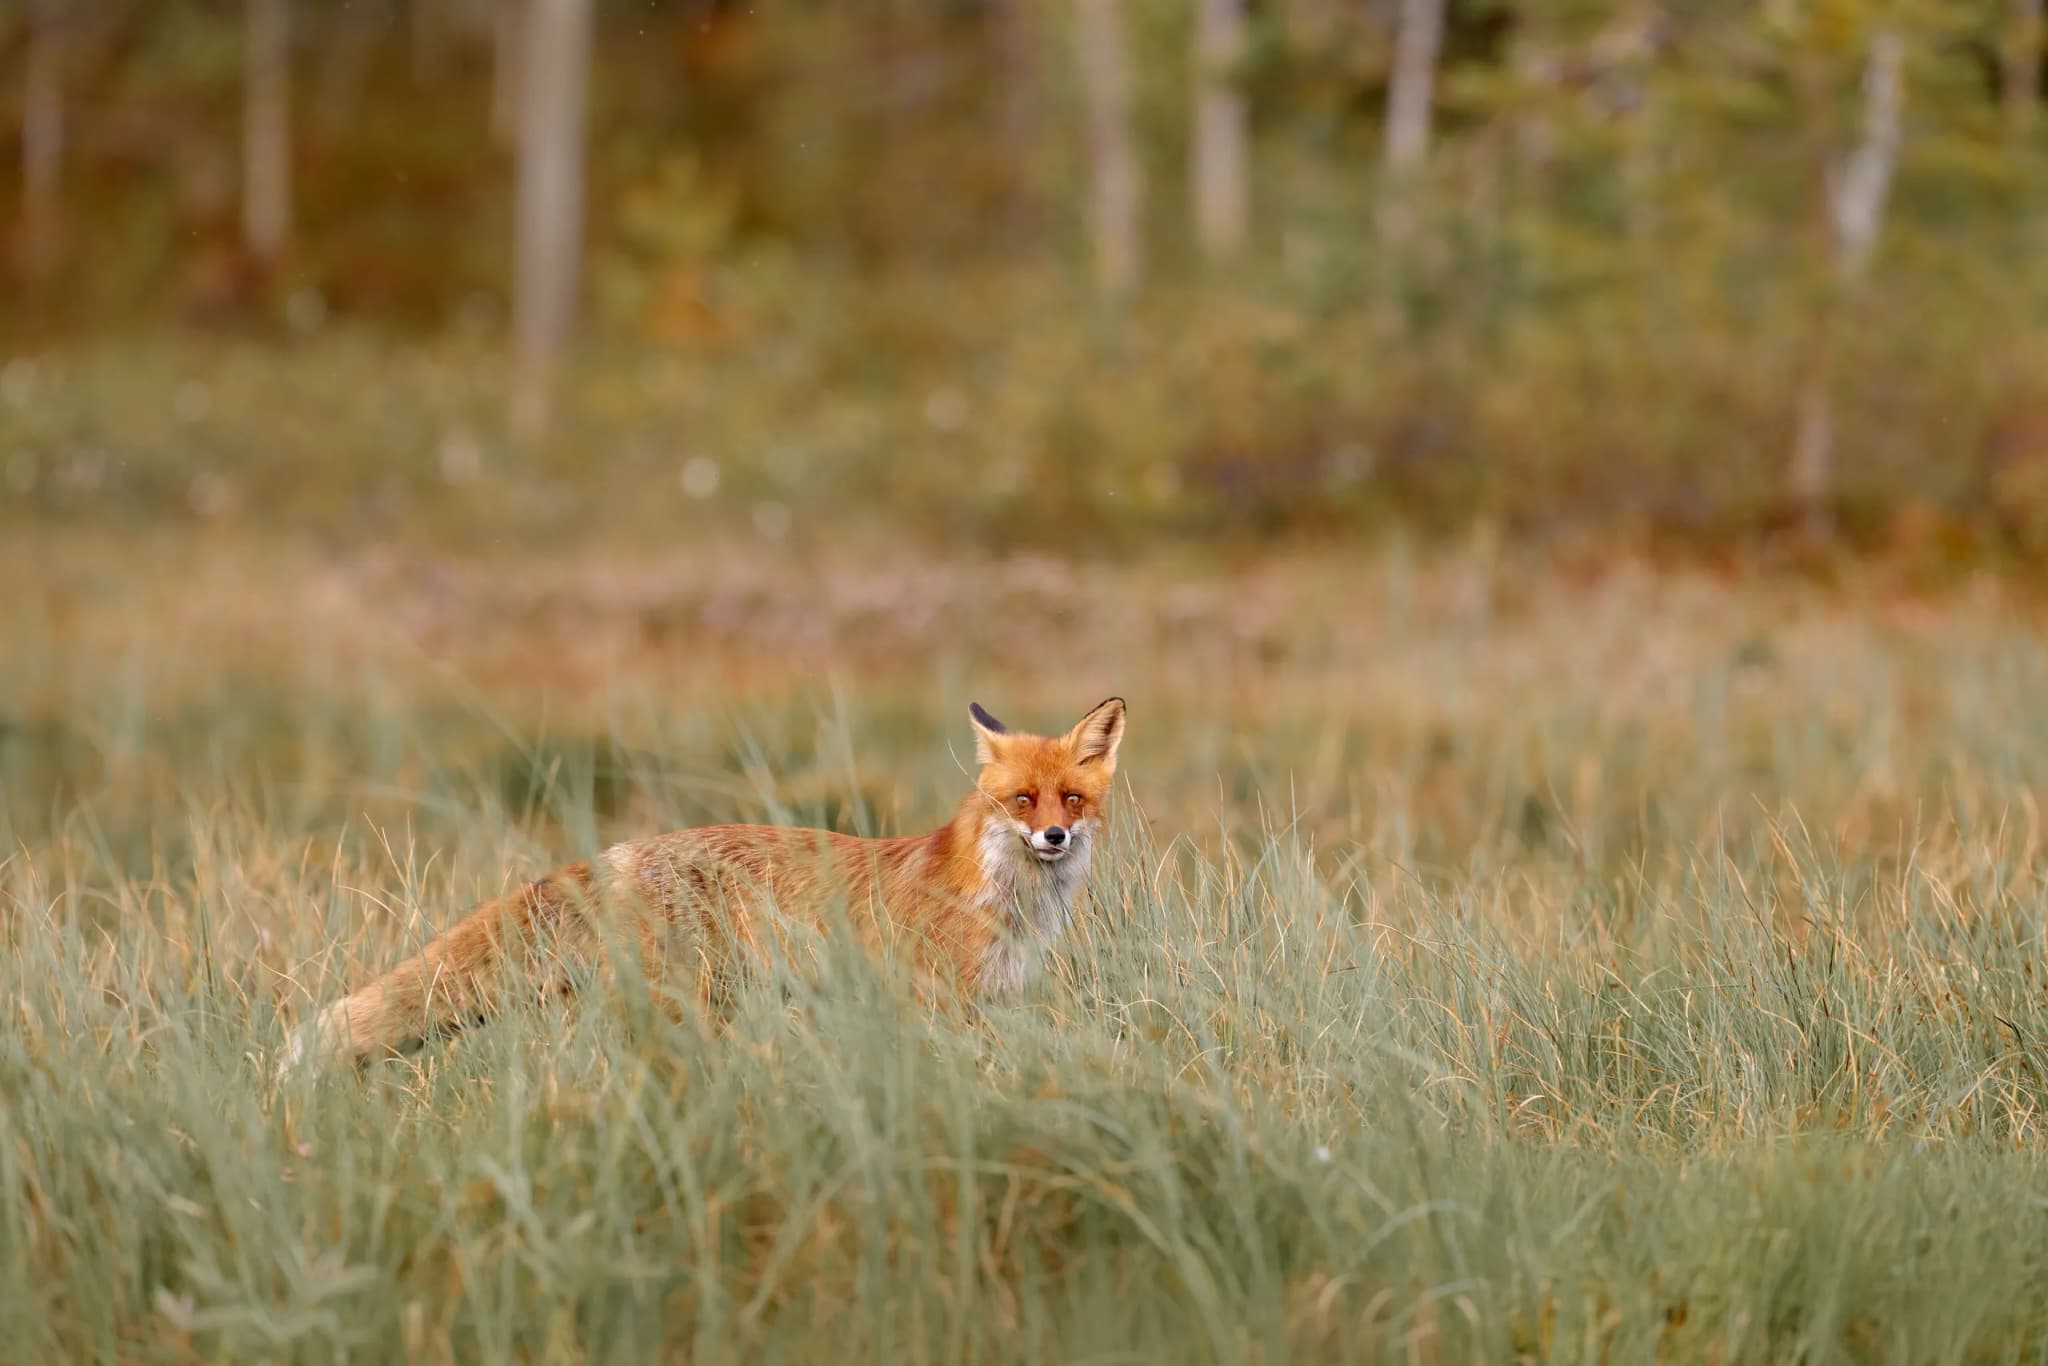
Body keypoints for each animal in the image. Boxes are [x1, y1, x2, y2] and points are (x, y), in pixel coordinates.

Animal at [278, 697, 1126, 1077]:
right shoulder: (935, 1003)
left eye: (1071, 800)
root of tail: (625, 849)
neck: (1007, 903)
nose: (1054, 838)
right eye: (1022, 801)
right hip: (694, 1004)